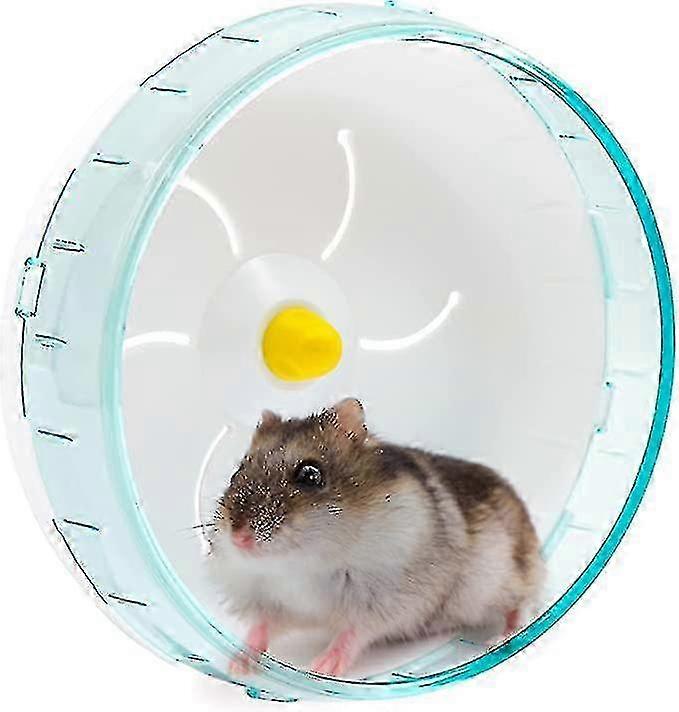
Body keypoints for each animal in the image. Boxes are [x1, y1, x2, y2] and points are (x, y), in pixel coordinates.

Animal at [207, 398, 544, 678]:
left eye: (310, 474)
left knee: (523, 603)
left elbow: (353, 633)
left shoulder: (387, 599)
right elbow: (261, 627)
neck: (303, 562)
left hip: (502, 576)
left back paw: (500, 639)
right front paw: (236, 665)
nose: (238, 538)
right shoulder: (274, 600)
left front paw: (320, 668)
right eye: (237, 471)